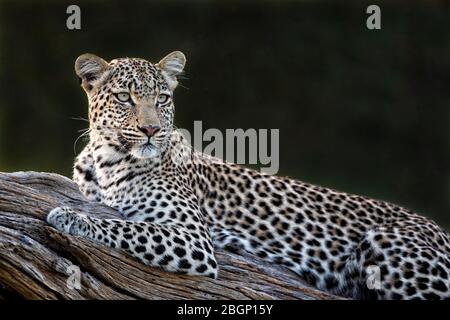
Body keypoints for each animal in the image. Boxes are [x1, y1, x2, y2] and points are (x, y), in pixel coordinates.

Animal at [45, 50, 450, 300]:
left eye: (162, 99)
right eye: (124, 98)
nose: (151, 129)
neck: (107, 160)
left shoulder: (194, 239)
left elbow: (126, 226)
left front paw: (70, 218)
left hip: (388, 243)